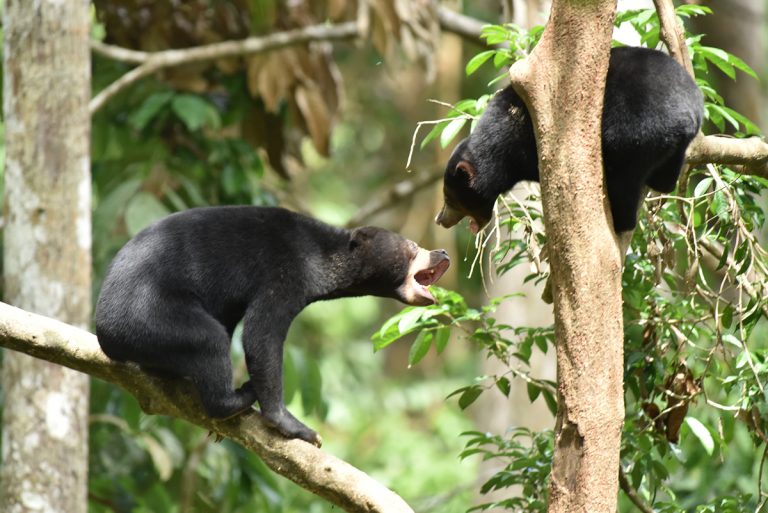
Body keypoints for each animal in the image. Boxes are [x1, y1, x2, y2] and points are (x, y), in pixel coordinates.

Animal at [95, 206, 450, 446]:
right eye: (413, 247)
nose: (443, 251)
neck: (324, 257)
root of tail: (104, 331)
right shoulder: (284, 273)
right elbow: (261, 334)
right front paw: (296, 427)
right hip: (148, 313)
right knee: (209, 339)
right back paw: (236, 397)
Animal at [435, 46, 704, 234]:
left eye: (450, 198)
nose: (440, 219)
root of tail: (687, 114)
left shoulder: (524, 142)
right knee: (665, 174)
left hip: (636, 129)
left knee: (624, 175)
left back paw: (621, 221)